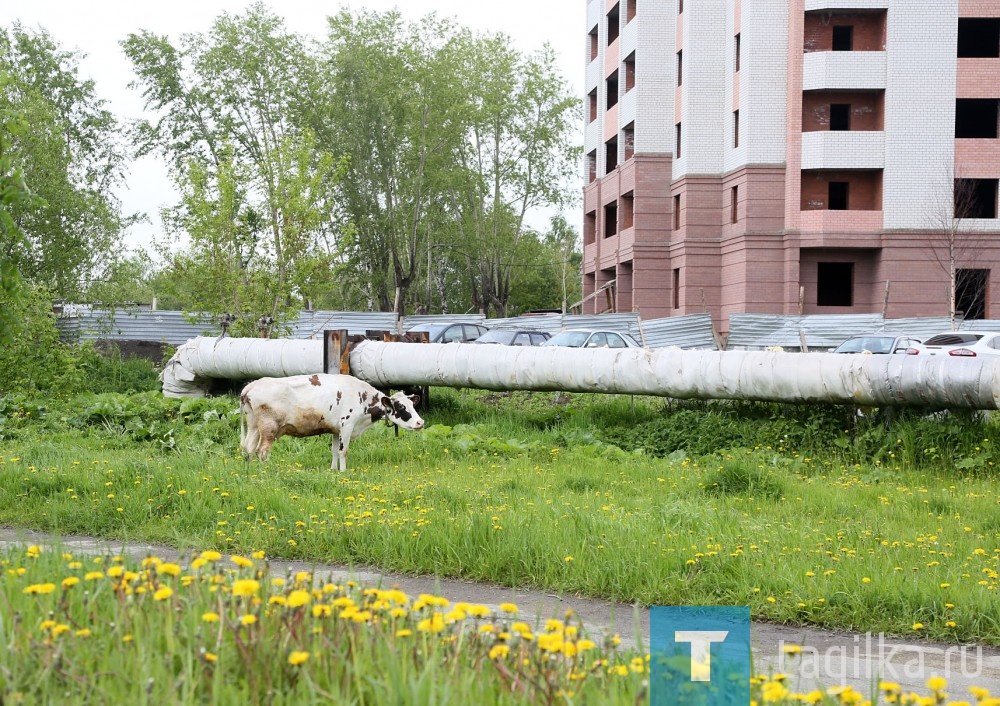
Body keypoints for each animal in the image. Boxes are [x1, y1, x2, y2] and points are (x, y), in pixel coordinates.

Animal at [240, 374, 424, 468]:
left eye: (412, 405)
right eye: (401, 407)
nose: (420, 422)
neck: (361, 396)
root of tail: (252, 385)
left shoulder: (336, 430)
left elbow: (335, 451)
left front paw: (333, 470)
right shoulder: (347, 425)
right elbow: (344, 451)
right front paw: (343, 472)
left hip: (254, 425)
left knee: (248, 448)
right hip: (268, 428)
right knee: (262, 450)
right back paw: (265, 471)